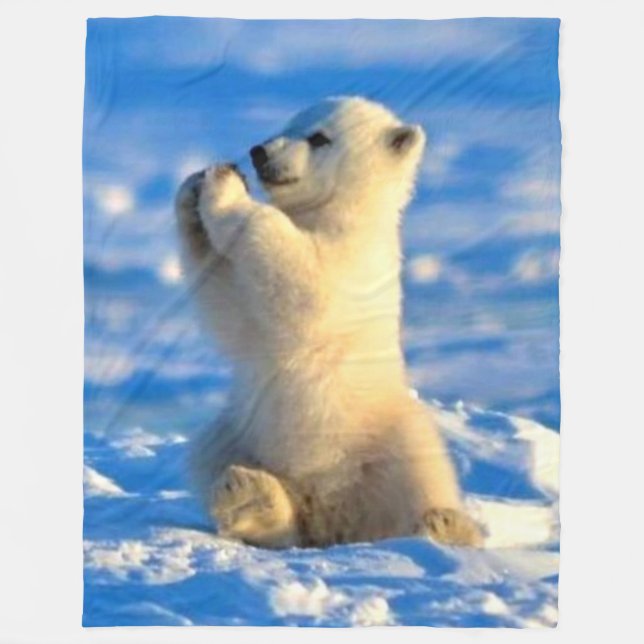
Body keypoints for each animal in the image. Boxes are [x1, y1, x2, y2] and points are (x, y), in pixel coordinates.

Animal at [175, 96, 482, 549]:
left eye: (319, 137)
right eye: (289, 122)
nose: (258, 152)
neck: (339, 213)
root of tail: (332, 515)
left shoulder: (357, 262)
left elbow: (302, 283)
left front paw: (223, 188)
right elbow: (233, 310)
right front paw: (193, 190)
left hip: (394, 440)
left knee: (419, 485)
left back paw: (444, 525)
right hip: (240, 432)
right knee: (211, 457)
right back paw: (250, 499)